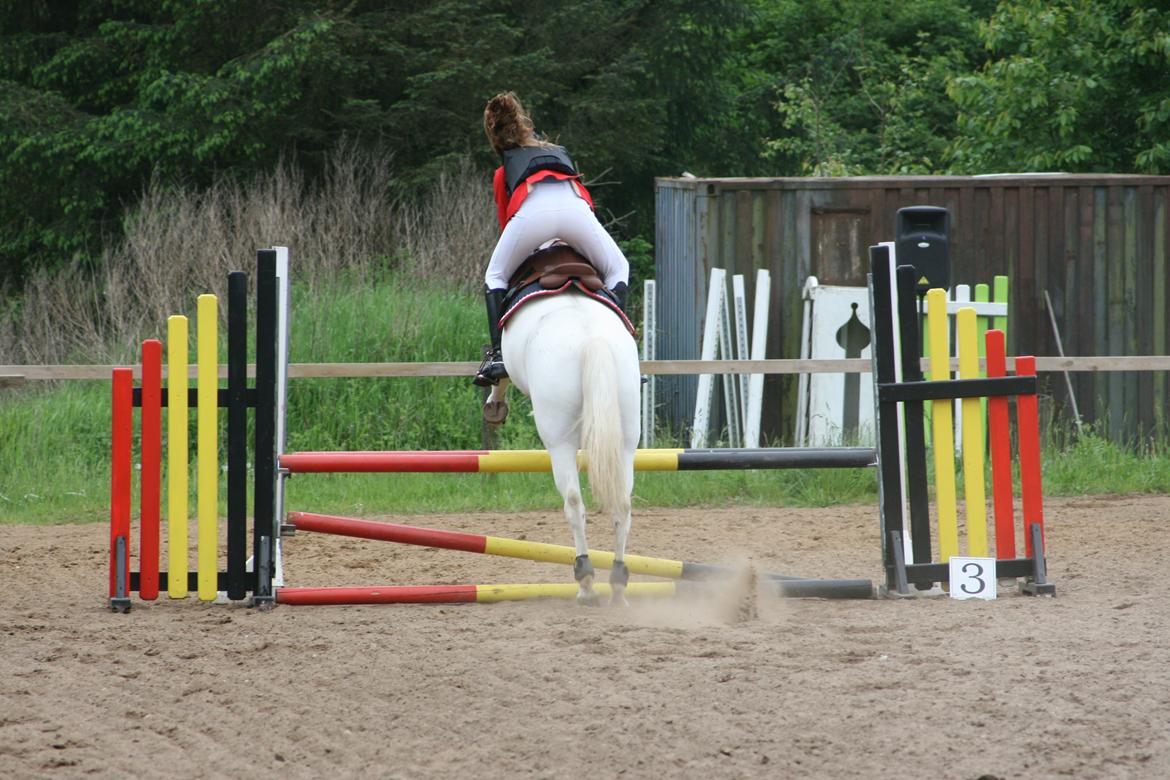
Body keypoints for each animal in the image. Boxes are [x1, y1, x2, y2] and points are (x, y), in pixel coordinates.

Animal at [479, 277, 641, 608]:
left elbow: (501, 375)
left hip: (560, 442)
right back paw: (618, 585)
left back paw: (586, 582)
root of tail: (592, 339)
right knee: (622, 504)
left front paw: (494, 404)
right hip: (625, 440)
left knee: (574, 503)